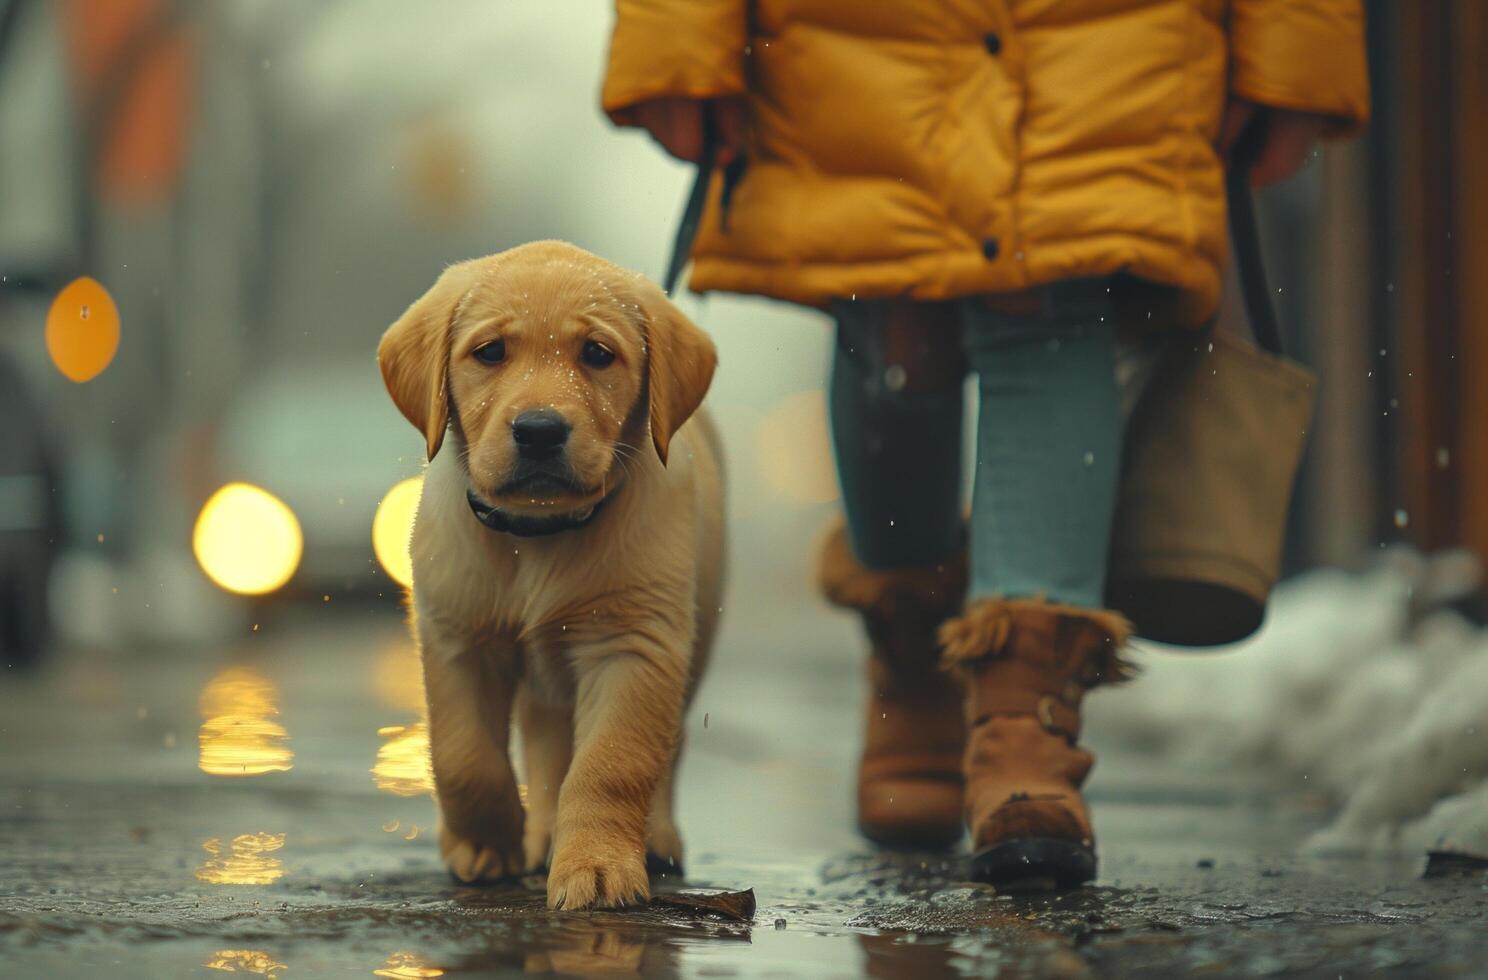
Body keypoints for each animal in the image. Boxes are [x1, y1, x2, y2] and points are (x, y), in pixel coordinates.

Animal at [380, 240, 723, 910]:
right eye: (490, 352)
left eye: (597, 354)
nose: (539, 430)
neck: (538, 538)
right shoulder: (458, 638)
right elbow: (464, 756)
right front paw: (486, 845)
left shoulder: (633, 643)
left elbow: (611, 763)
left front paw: (596, 866)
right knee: (543, 747)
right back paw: (539, 835)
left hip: (691, 637)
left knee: (666, 750)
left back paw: (655, 837)